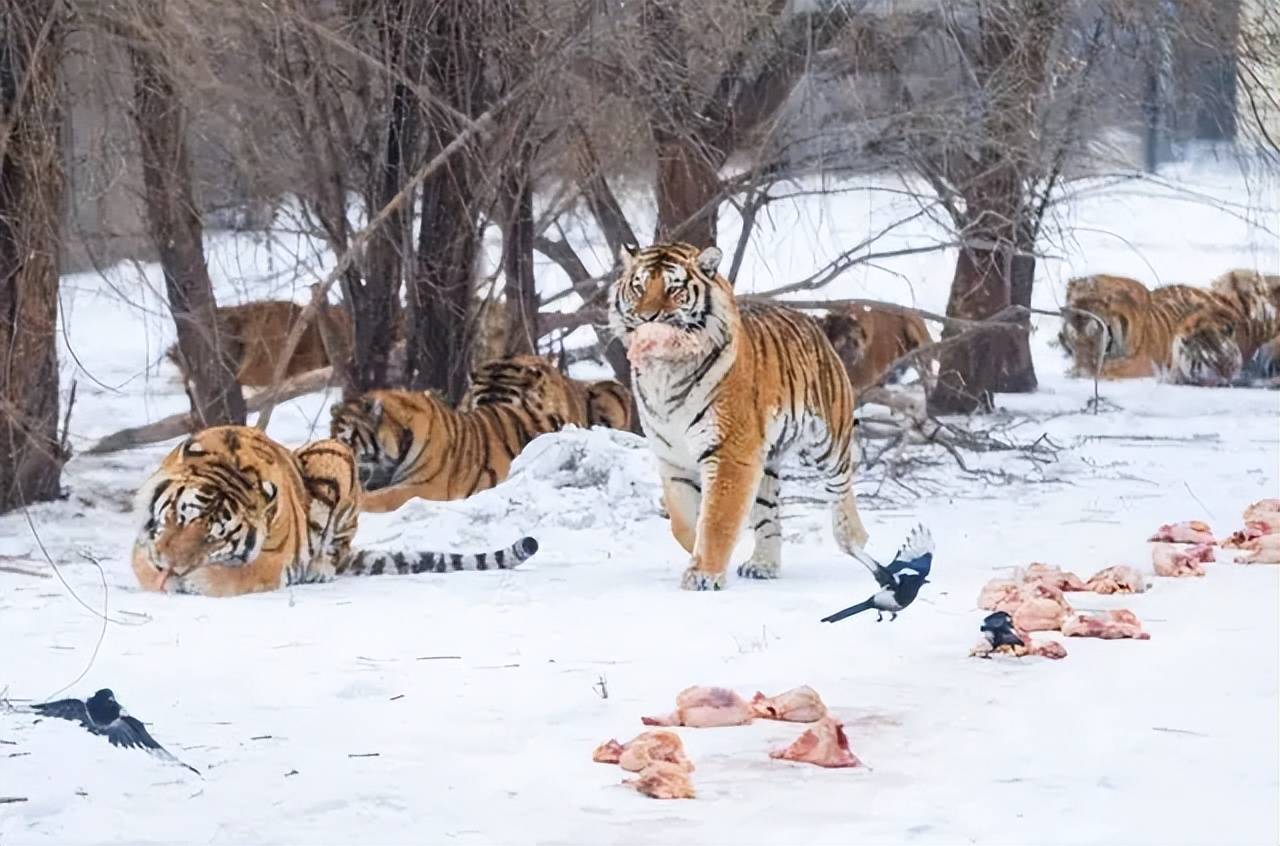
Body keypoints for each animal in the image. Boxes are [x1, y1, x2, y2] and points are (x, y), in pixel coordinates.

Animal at [126, 424, 535, 596]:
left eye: (215, 539)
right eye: (181, 517)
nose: (170, 567)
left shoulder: (270, 559)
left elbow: (234, 575)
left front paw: (195, 579)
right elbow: (144, 561)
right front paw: (162, 576)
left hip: (334, 455)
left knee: (335, 550)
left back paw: (319, 569)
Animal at [609, 240, 870, 591]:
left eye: (673, 288)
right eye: (638, 287)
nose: (647, 317)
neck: (665, 373)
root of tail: (810, 322)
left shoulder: (730, 453)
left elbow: (717, 519)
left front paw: (703, 575)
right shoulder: (673, 459)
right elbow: (685, 522)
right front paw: (700, 557)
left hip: (827, 439)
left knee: (841, 487)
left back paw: (853, 539)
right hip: (766, 461)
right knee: (769, 514)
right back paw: (764, 564)